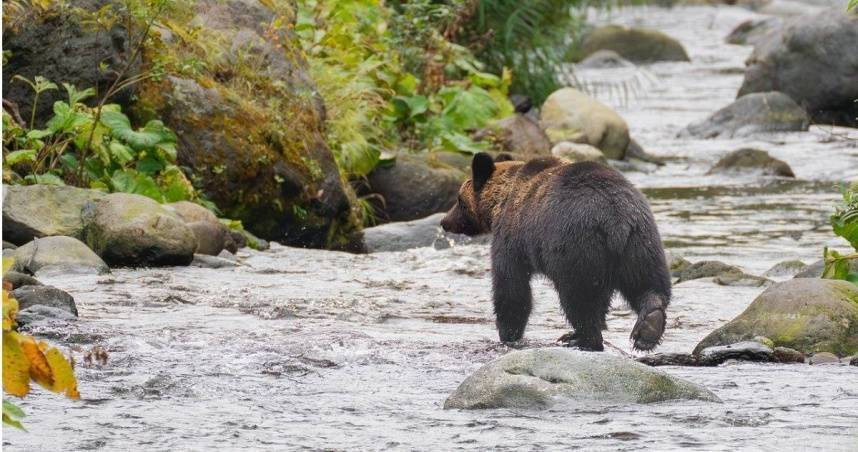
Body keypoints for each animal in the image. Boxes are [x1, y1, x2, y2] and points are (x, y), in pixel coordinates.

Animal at [440, 152, 671, 351]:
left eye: (459, 200)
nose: (444, 221)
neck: (501, 200)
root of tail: (616, 219)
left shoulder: (512, 236)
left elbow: (511, 285)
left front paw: (508, 333)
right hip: (641, 242)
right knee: (647, 284)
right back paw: (649, 327)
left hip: (575, 246)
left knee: (579, 297)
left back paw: (581, 338)